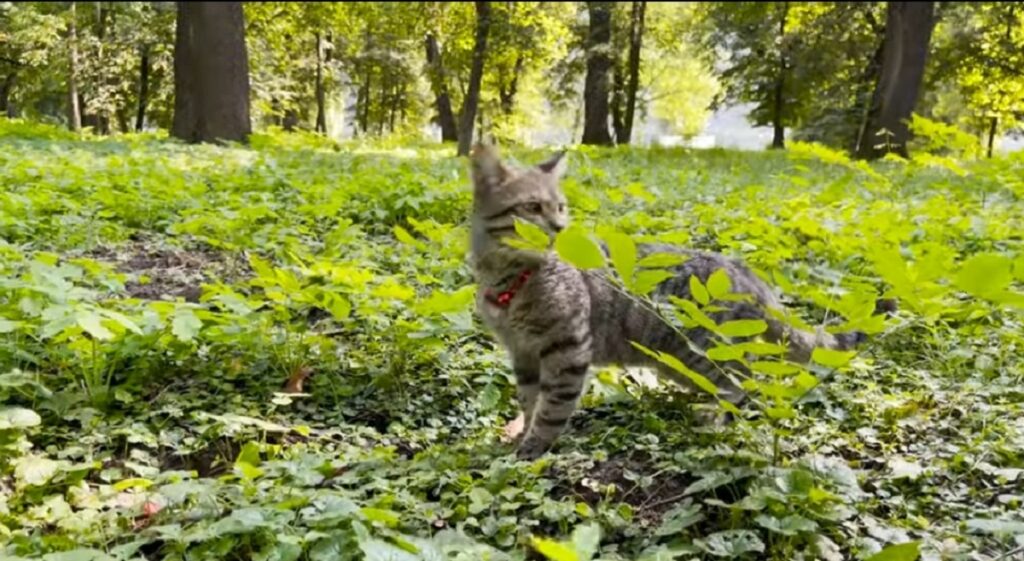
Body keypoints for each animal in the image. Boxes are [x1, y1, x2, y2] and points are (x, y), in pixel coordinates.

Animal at [468, 143, 880, 460]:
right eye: (533, 207)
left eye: (560, 207)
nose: (560, 228)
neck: (510, 281)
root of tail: (744, 269)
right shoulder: (522, 353)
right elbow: (529, 400)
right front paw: (522, 434)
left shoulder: (567, 348)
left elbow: (552, 408)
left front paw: (532, 448)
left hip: (706, 349)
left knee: (745, 382)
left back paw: (718, 420)